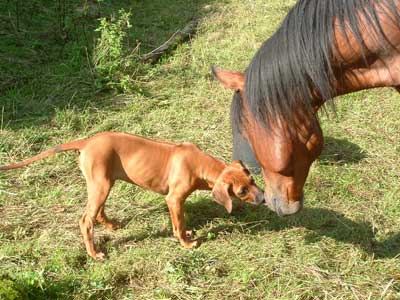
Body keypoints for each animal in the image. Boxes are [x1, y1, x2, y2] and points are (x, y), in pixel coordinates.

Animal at [0, 132, 266, 258]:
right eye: (242, 191)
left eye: (252, 181)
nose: (263, 198)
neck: (199, 164)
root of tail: (88, 141)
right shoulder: (173, 199)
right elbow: (178, 224)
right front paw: (186, 242)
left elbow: (181, 220)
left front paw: (189, 233)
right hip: (100, 185)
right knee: (86, 220)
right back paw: (94, 253)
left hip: (102, 183)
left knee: (98, 212)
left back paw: (111, 225)